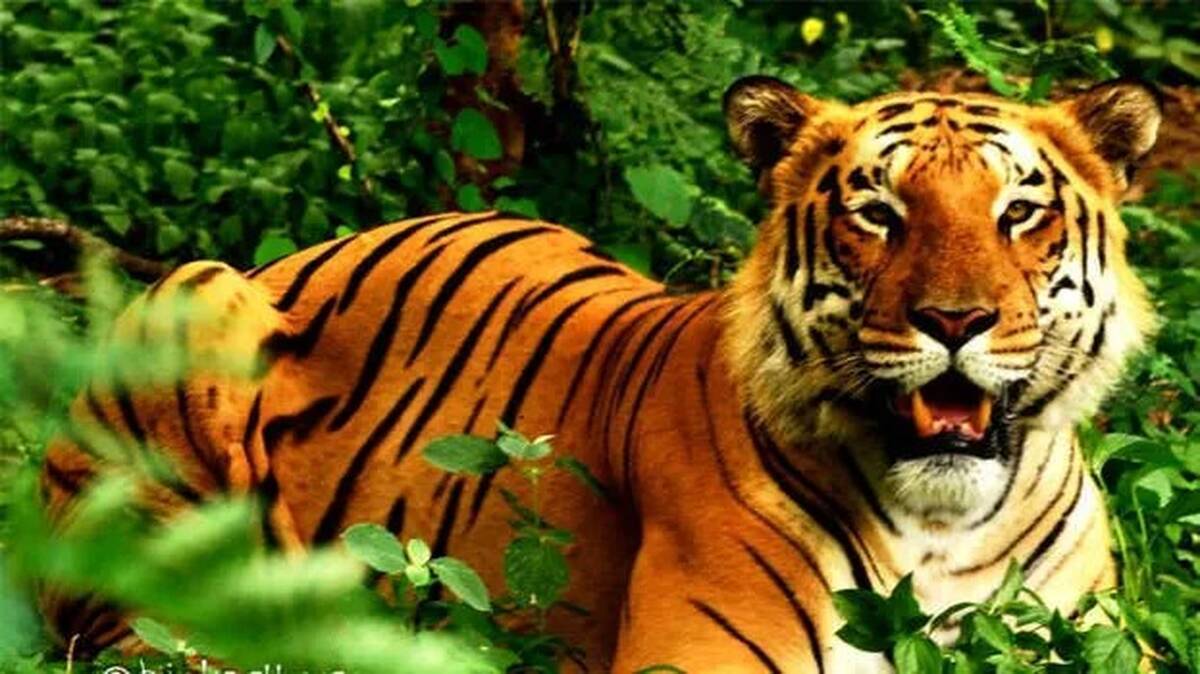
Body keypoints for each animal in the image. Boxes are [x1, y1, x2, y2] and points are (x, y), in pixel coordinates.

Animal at [38, 75, 1161, 673]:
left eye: (1019, 210)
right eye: (878, 212)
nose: (956, 320)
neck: (943, 526)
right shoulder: (703, 655)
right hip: (193, 301)